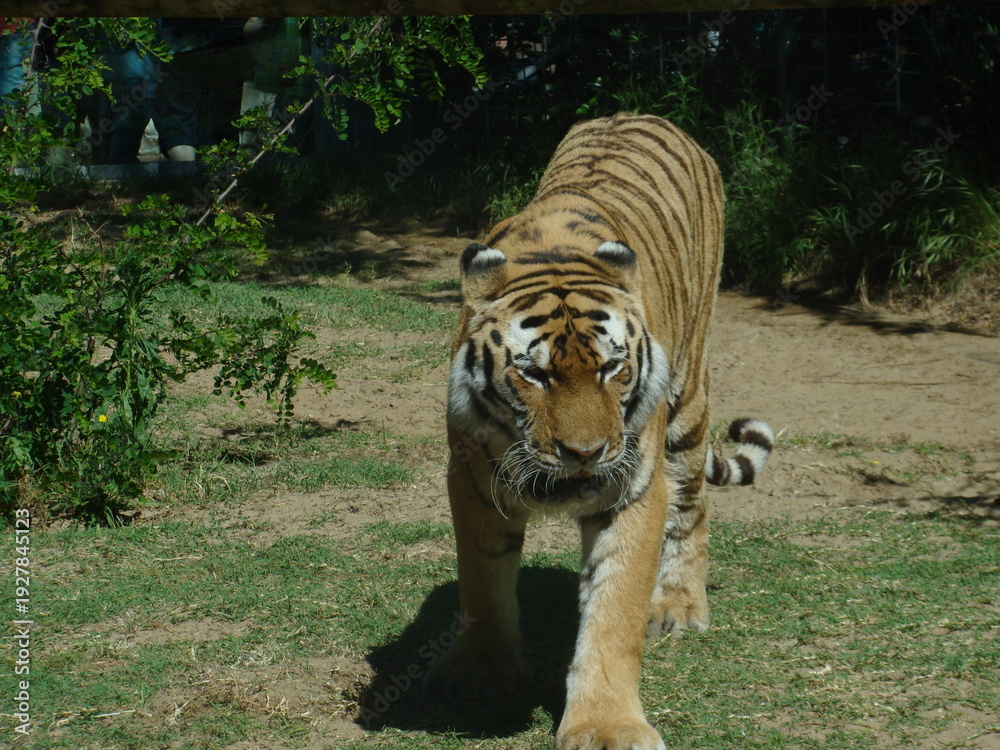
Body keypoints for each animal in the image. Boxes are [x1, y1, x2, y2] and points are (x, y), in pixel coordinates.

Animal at [424, 112, 774, 750]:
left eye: (612, 368)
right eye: (533, 373)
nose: (584, 452)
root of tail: (642, 114)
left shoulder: (633, 488)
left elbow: (614, 611)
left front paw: (607, 725)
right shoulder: (472, 477)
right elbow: (481, 583)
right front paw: (478, 672)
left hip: (687, 404)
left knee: (694, 505)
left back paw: (678, 606)